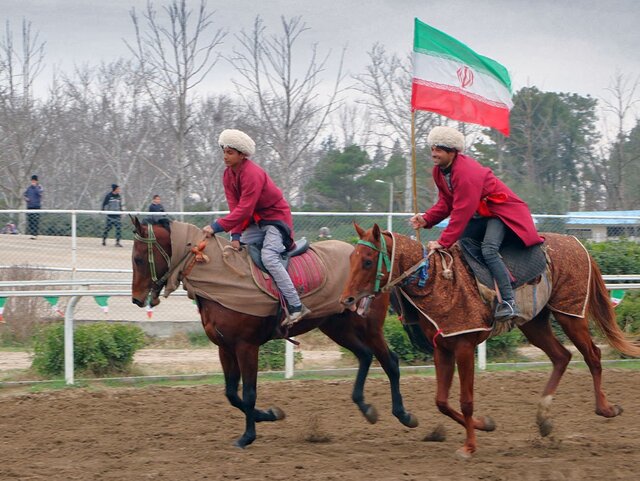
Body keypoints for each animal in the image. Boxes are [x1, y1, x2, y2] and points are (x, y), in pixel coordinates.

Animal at [130, 218, 420, 446]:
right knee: (364, 356)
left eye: (138, 258)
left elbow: (248, 393)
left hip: (368, 326)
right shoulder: (225, 347)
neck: (223, 277)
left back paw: (404, 415)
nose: (136, 299)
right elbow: (231, 394)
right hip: (335, 326)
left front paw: (248, 436)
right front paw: (268, 414)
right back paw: (365, 407)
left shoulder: (246, 346)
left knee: (390, 362)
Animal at [340, 224, 640, 458]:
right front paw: (484, 424)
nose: (346, 299)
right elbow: (441, 401)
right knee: (561, 356)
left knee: (592, 355)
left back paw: (605, 408)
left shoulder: (463, 347)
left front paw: (469, 446)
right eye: (351, 259)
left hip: (570, 313)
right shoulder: (442, 347)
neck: (436, 281)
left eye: (368, 261)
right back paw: (544, 418)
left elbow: (465, 400)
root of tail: (578, 245)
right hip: (535, 323)